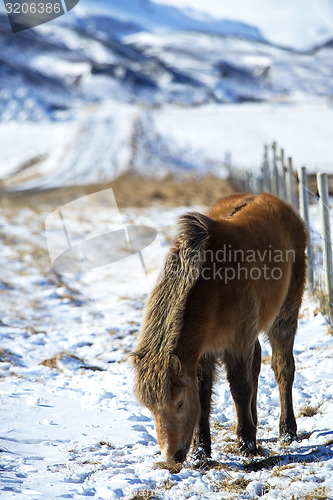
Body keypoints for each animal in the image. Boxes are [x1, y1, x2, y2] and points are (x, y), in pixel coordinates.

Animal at [132, 193, 306, 462]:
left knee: (283, 368)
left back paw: (287, 431)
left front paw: (247, 445)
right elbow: (204, 394)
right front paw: (201, 451)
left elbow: (240, 388)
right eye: (150, 409)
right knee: (256, 362)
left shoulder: (237, 342)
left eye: (179, 403)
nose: (172, 458)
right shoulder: (206, 349)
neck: (215, 284)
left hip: (284, 316)